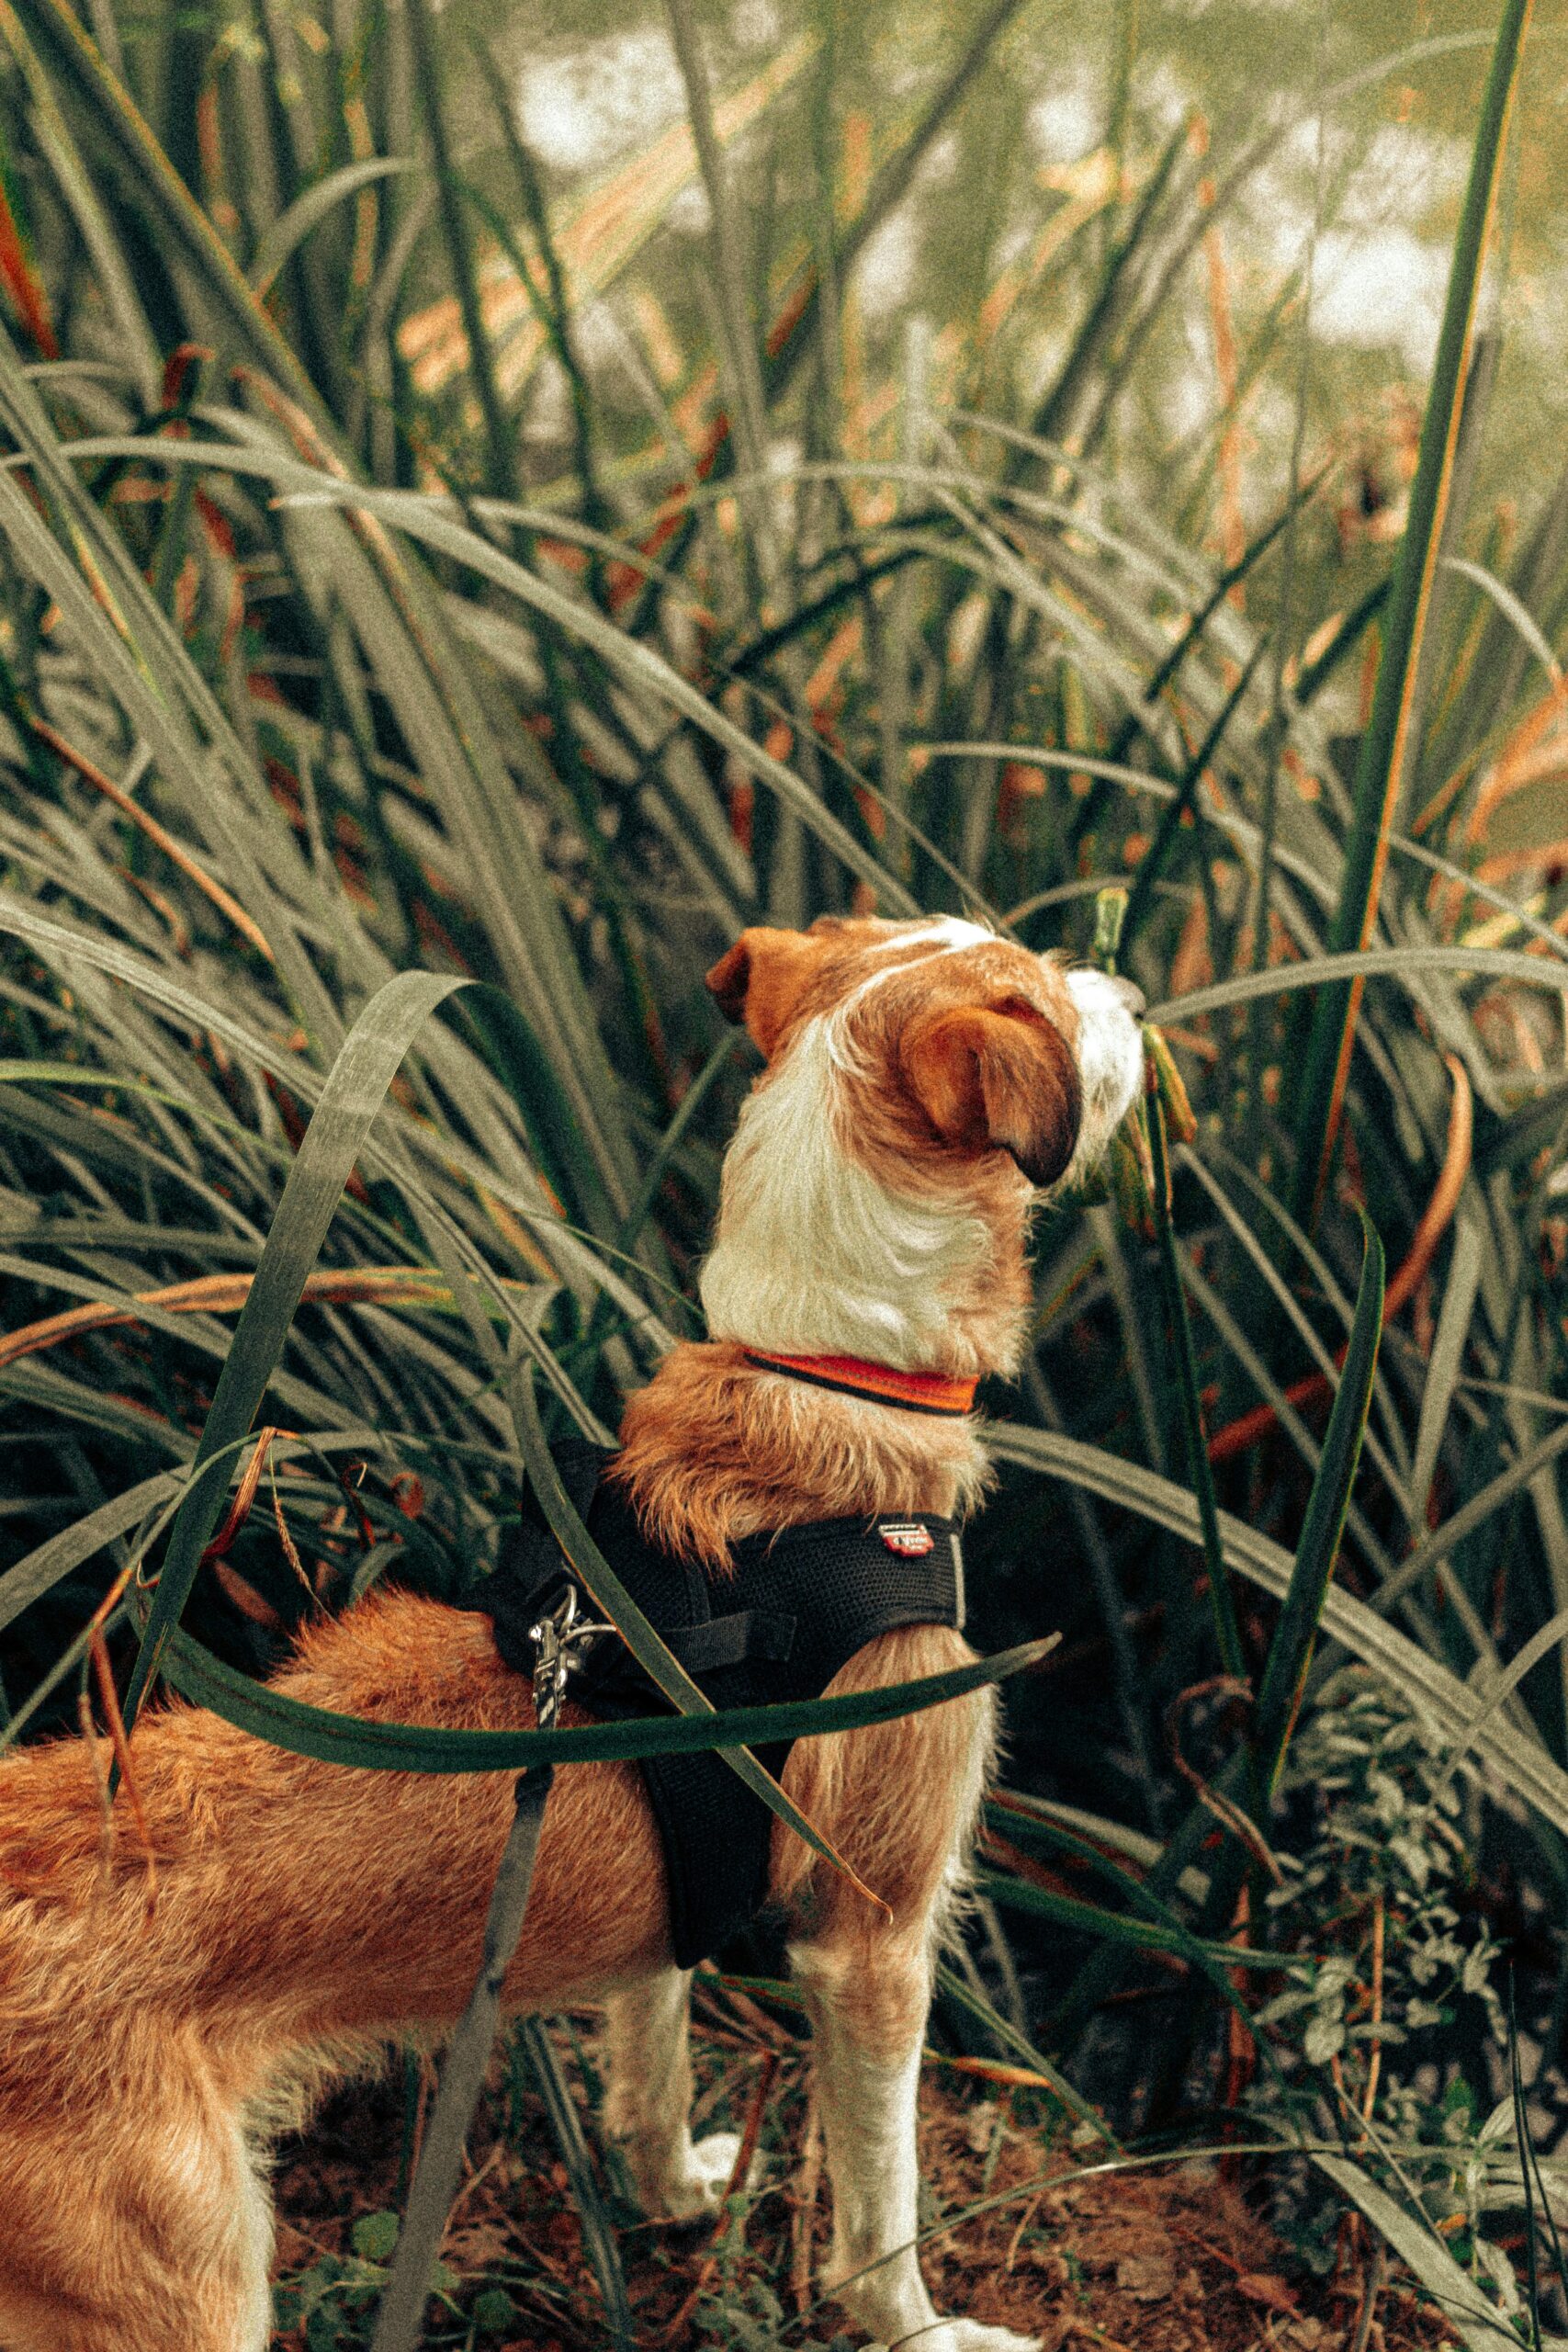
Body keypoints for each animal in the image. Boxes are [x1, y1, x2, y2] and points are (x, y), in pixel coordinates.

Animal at [0, 912, 1142, 2352]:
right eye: (1048, 1002)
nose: (1130, 991)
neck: (817, 1385)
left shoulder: (675, 1910)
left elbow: (649, 2070)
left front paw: (672, 2196)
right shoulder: (871, 1940)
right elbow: (883, 2202)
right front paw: (920, 2328)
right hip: (186, 2291)